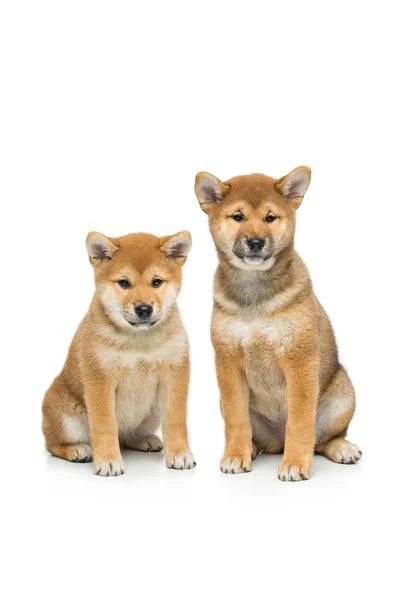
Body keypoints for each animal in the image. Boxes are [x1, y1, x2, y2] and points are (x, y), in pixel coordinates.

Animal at [42, 231, 195, 478]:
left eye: (156, 282)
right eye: (124, 283)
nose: (144, 309)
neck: (139, 341)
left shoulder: (174, 374)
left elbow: (175, 420)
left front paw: (180, 453)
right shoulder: (100, 379)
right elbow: (105, 426)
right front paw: (108, 461)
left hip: (153, 412)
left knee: (125, 436)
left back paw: (143, 440)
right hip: (65, 417)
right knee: (52, 444)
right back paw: (77, 450)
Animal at [195, 168, 360, 482]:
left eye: (270, 218)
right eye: (238, 217)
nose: (256, 242)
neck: (255, 295)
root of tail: (277, 442)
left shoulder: (300, 359)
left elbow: (300, 422)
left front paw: (295, 463)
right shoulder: (227, 362)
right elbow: (236, 420)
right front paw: (235, 456)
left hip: (343, 394)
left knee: (324, 439)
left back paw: (342, 448)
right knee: (257, 436)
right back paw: (250, 449)